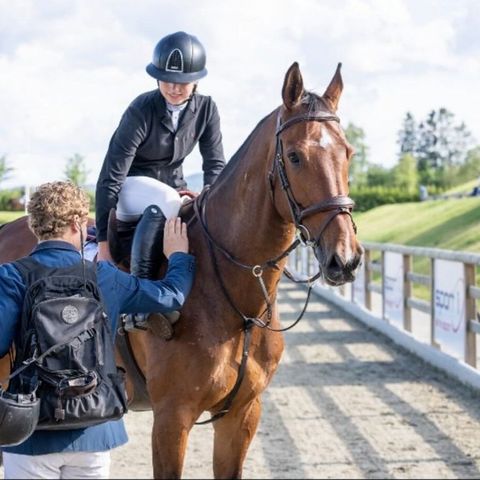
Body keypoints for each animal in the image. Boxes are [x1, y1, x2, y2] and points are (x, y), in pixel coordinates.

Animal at [0, 62, 360, 476]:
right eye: (296, 156)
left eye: (348, 153)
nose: (345, 259)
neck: (237, 304)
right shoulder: (173, 416)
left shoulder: (242, 415)